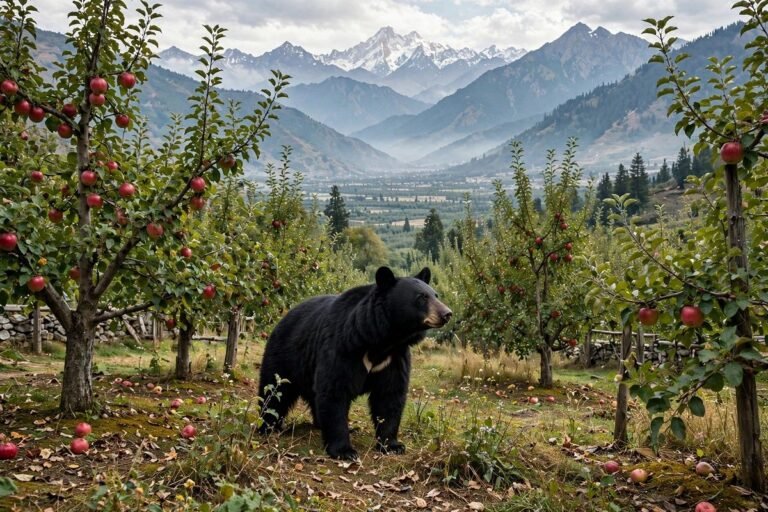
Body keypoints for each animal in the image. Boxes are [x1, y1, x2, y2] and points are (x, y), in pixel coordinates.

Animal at [257, 266, 452, 460]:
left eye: (436, 295)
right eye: (422, 297)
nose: (447, 313)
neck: (383, 340)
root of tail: (284, 317)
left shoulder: (395, 358)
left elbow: (390, 395)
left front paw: (392, 445)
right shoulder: (343, 347)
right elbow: (335, 390)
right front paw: (344, 450)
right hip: (285, 357)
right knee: (274, 392)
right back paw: (268, 427)